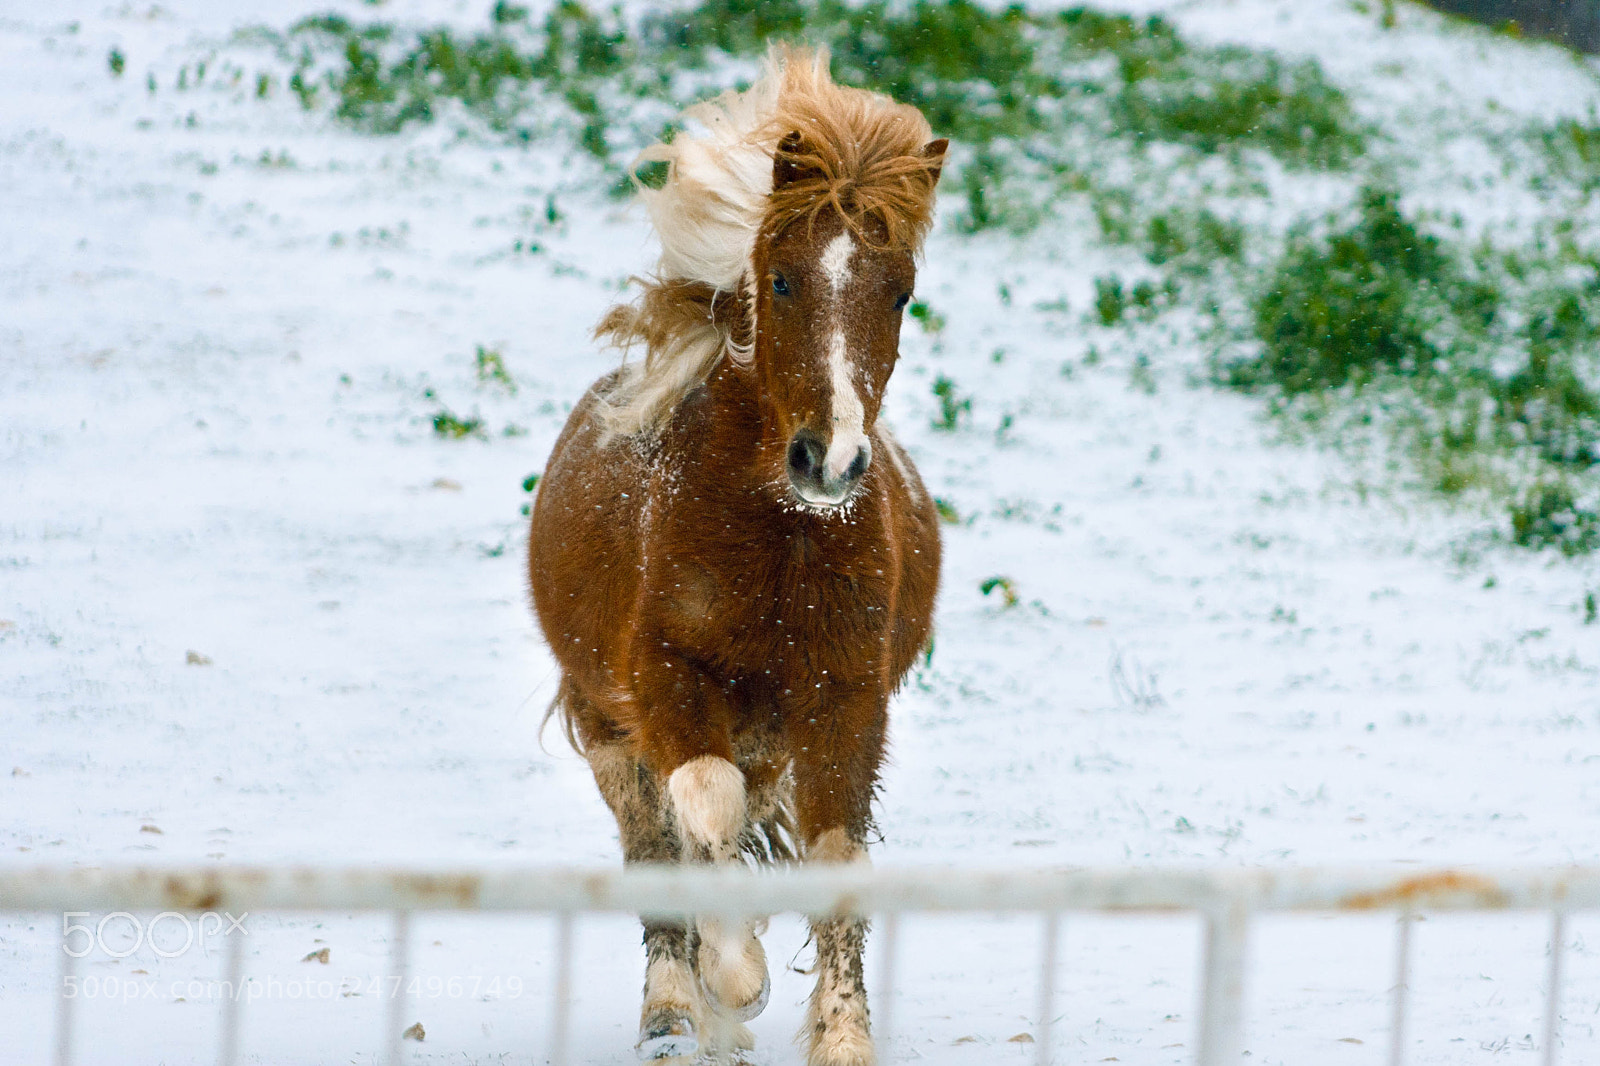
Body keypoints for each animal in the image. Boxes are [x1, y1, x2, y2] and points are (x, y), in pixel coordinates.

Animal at [531, 47, 940, 1062]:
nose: (829, 462)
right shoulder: (668, 685)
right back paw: (677, 1017)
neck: (778, 549)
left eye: (901, 291)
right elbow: (705, 805)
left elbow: (834, 859)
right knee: (656, 852)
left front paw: (842, 1039)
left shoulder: (846, 703)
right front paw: (737, 983)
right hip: (611, 732)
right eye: (783, 281)